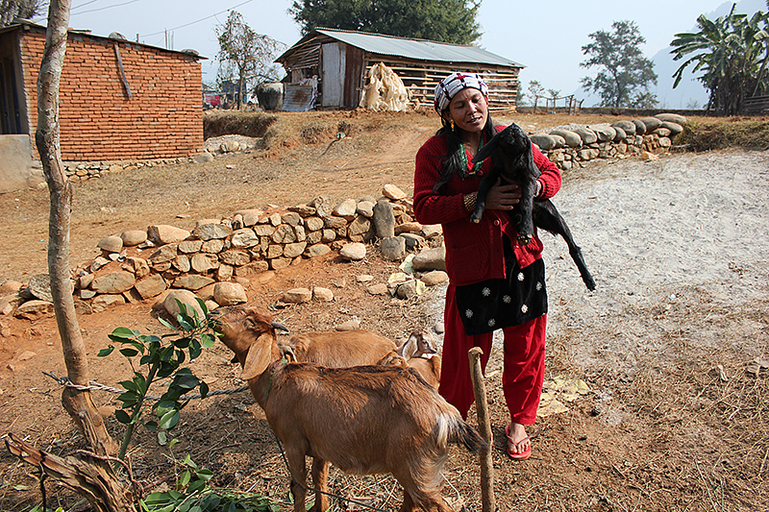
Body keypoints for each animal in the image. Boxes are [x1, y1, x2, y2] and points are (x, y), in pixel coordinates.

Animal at [212, 306, 486, 510]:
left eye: (249, 321)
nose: (213, 313)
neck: (277, 378)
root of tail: (446, 415)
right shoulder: (320, 446)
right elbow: (319, 478)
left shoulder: (293, 443)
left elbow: (298, 487)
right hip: (414, 468)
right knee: (411, 501)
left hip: (417, 469)